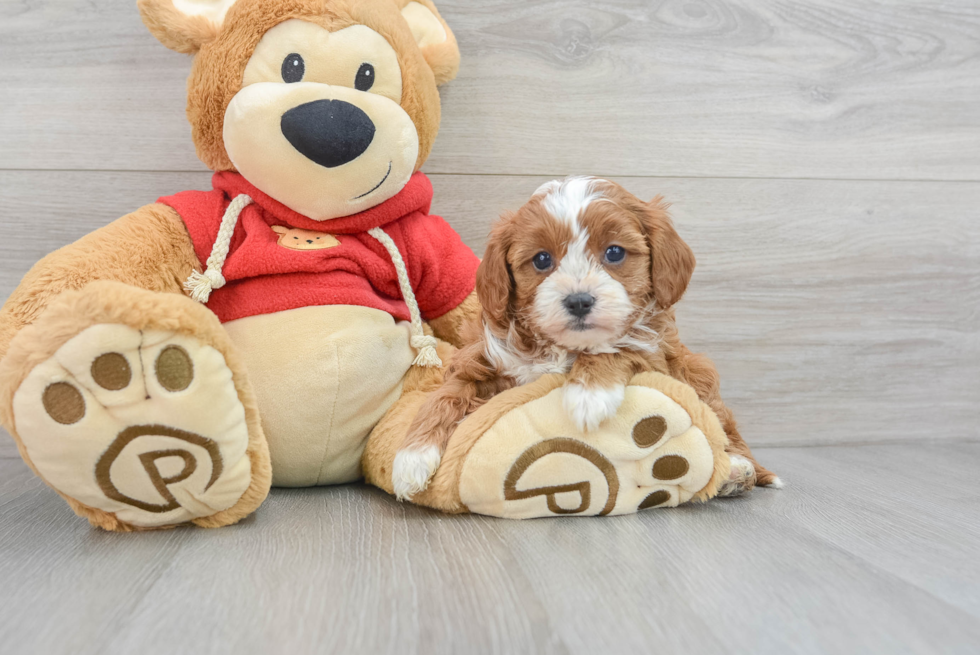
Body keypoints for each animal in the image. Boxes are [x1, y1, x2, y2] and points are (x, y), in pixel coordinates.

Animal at [390, 177, 780, 500]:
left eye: (615, 252)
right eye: (542, 259)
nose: (578, 300)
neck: (561, 348)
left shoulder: (655, 352)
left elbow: (617, 346)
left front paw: (589, 395)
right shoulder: (483, 361)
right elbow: (445, 395)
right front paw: (411, 459)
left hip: (696, 372)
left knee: (724, 427)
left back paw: (737, 470)